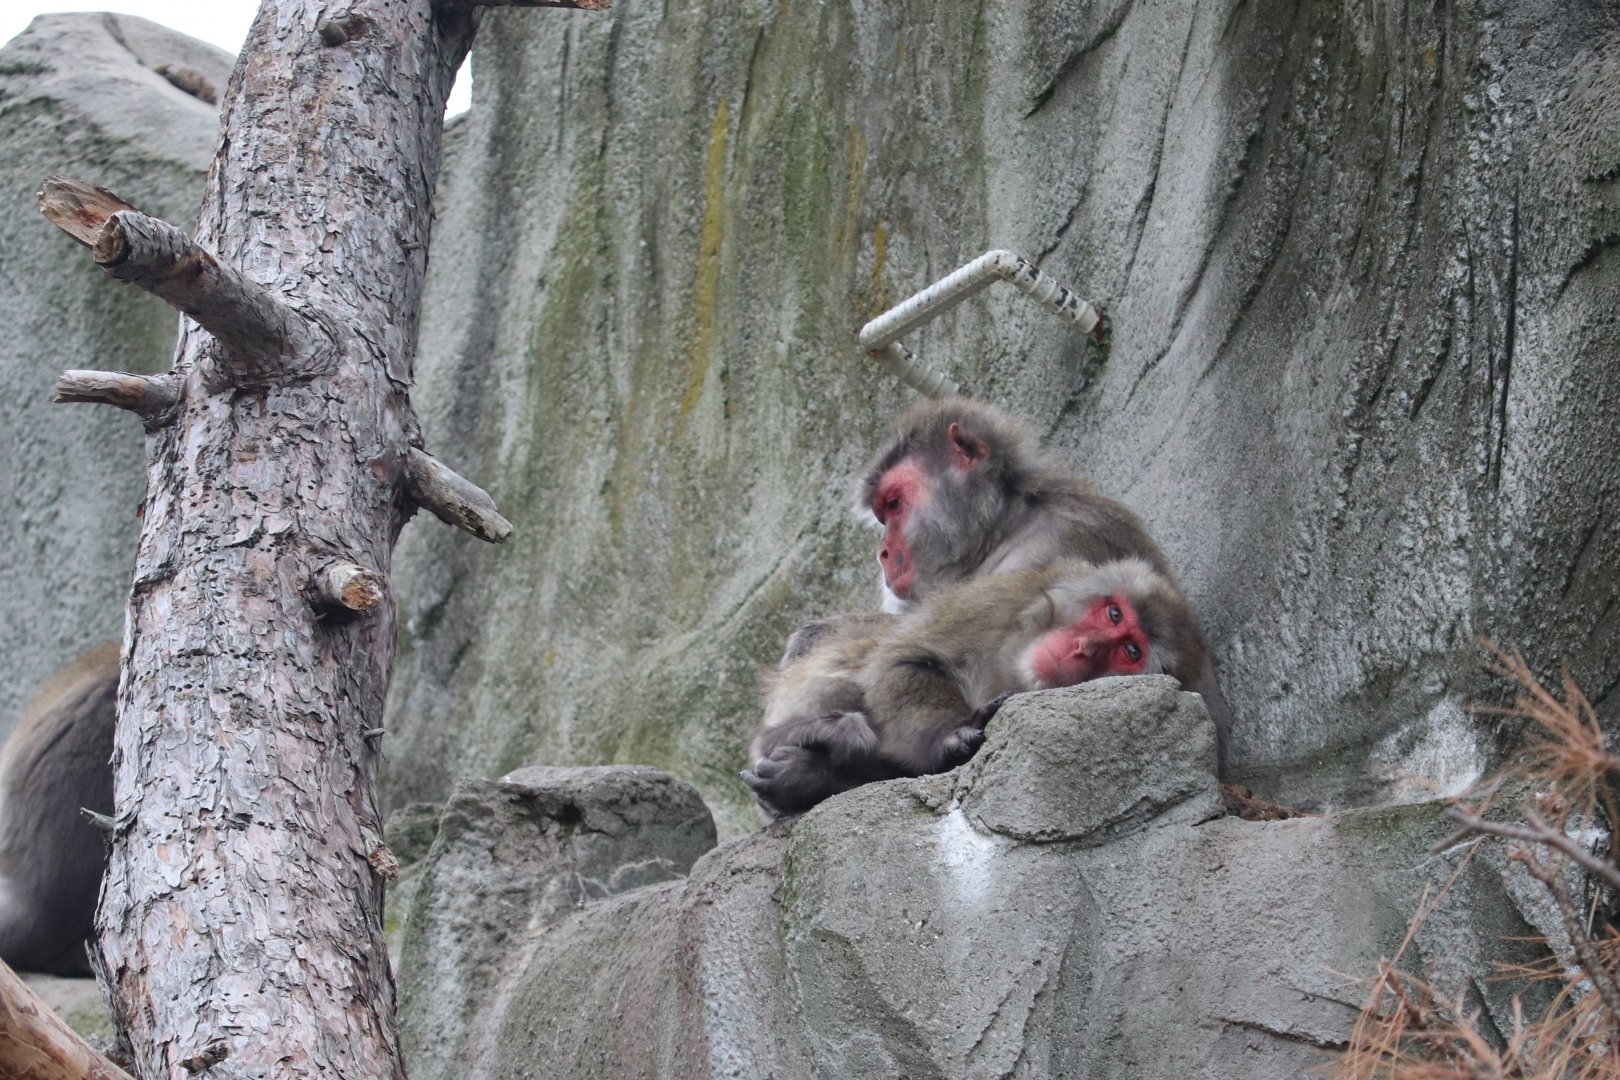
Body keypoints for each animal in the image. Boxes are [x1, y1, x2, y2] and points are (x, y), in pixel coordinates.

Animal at [742, 558, 1206, 816]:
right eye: (1113, 614)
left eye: (1130, 650)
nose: (1084, 647)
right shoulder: (998, 599)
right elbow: (904, 657)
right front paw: (953, 735)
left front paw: (810, 776)